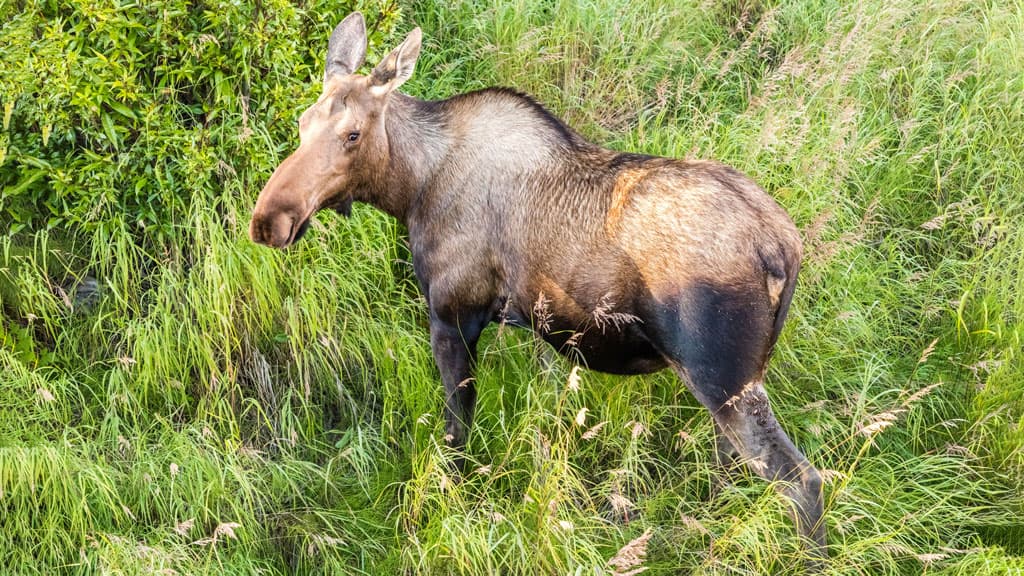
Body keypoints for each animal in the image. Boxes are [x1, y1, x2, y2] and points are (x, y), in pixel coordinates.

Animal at [251, 12, 827, 561]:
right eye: (302, 123)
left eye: (352, 134)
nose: (269, 220)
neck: (410, 187)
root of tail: (784, 249)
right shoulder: (536, 324)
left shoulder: (453, 315)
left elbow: (456, 434)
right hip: (736, 379)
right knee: (732, 466)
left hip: (721, 375)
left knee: (803, 480)